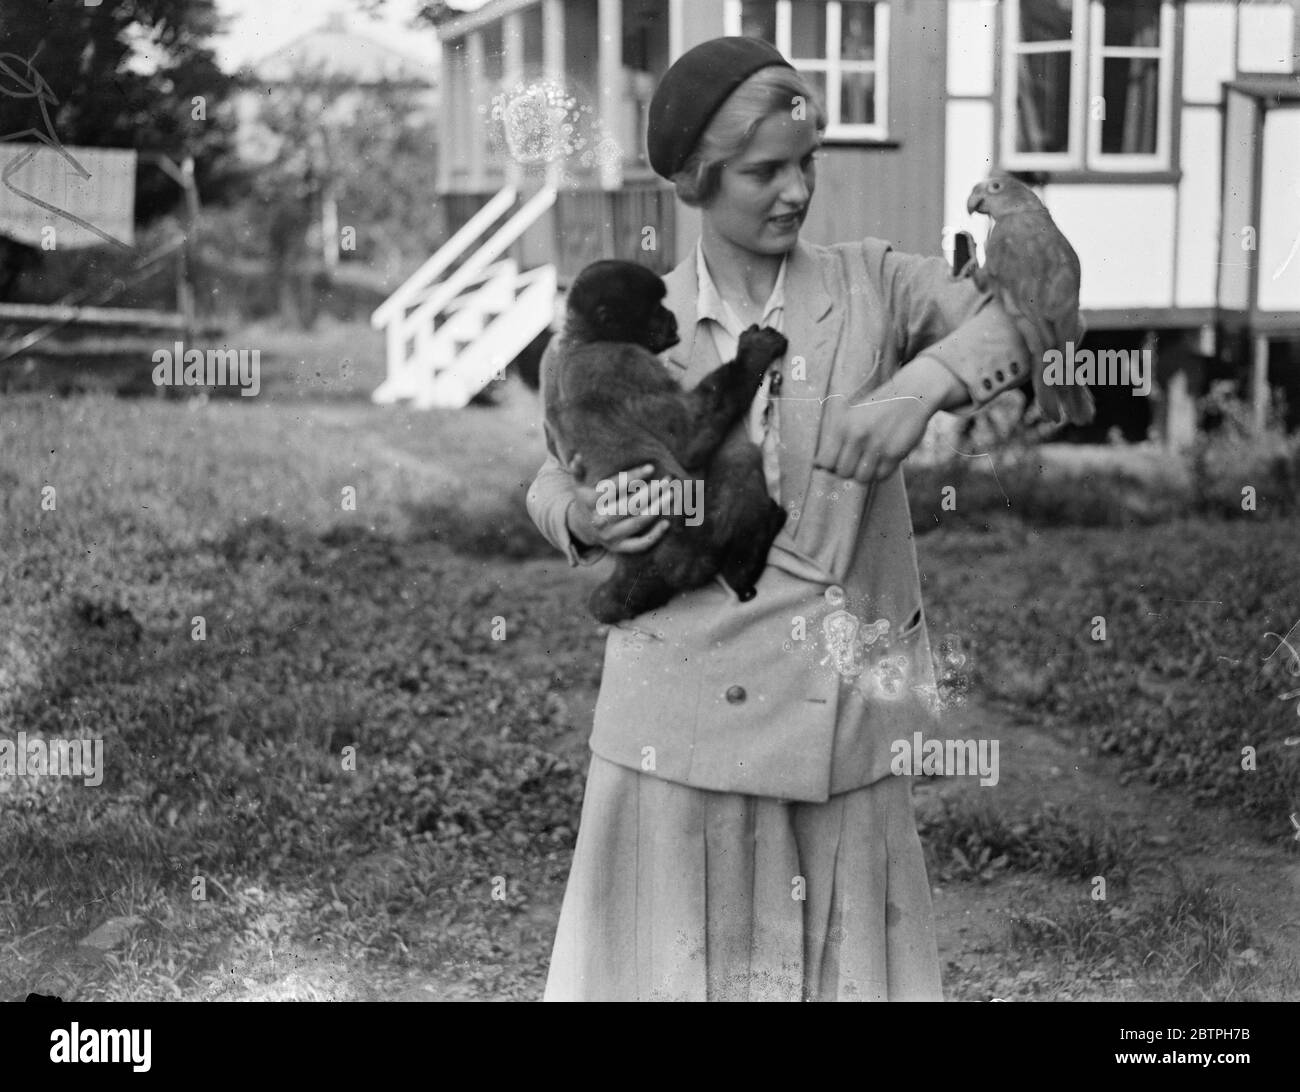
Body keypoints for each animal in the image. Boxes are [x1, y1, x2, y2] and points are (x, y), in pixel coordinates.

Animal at [540, 257, 785, 626]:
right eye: (655, 308)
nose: (670, 317)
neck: (582, 339)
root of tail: (636, 572)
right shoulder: (628, 362)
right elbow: (691, 437)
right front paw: (753, 353)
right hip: (696, 548)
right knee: (739, 454)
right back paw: (744, 565)